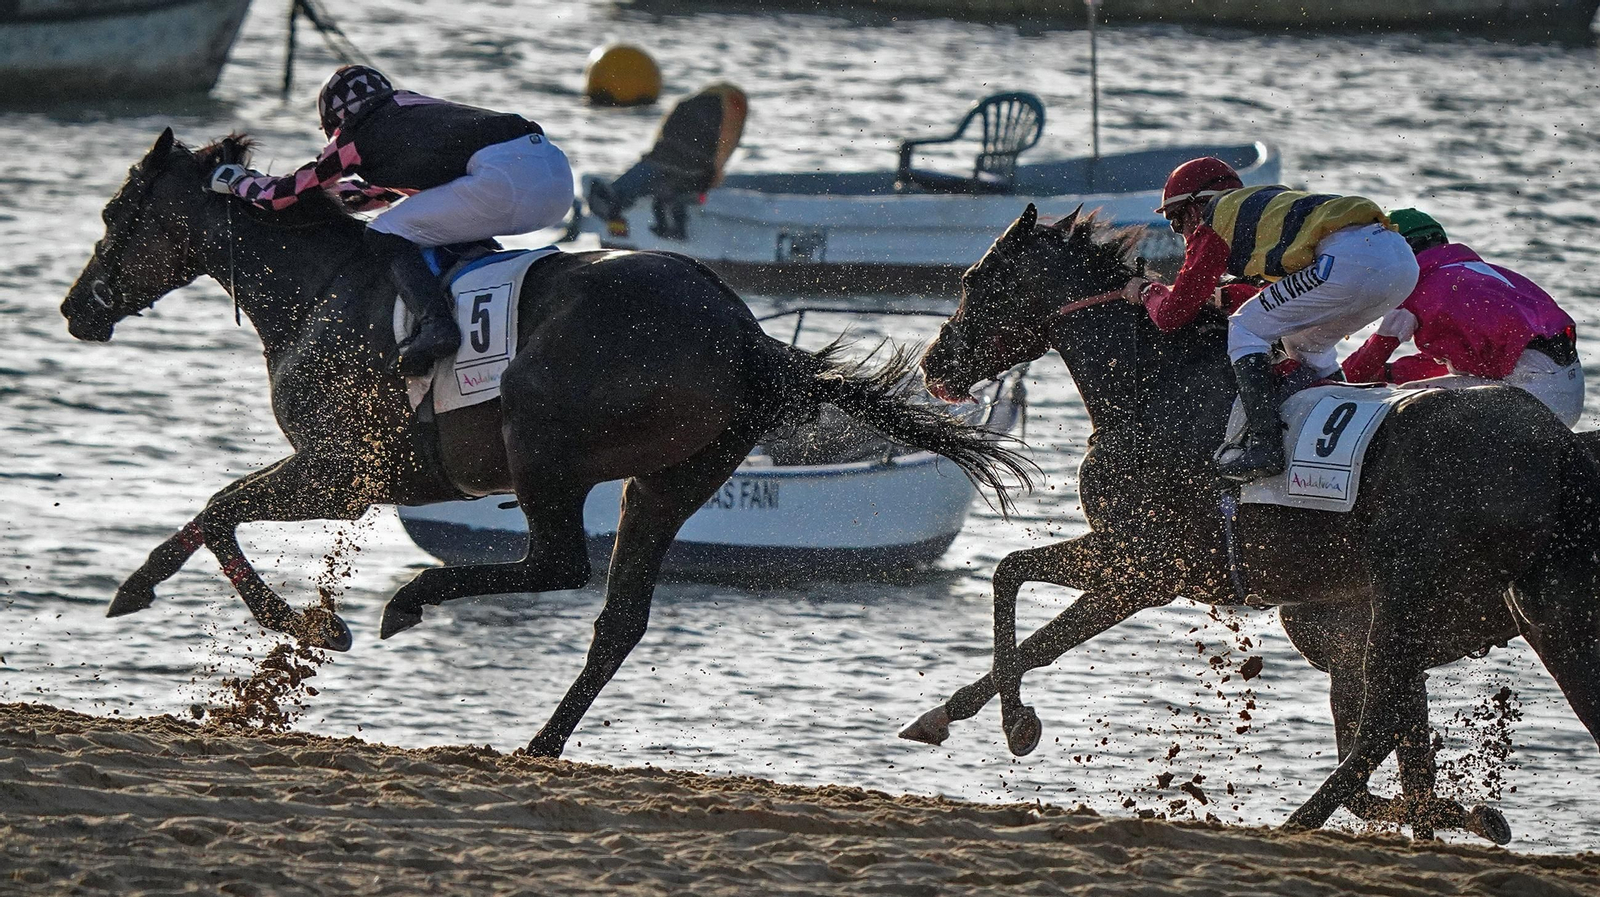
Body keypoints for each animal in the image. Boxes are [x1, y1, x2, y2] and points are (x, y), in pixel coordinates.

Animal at [57, 128, 1031, 758]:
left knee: (559, 562)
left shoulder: (345, 469)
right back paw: (544, 737)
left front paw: (307, 621)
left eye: (111, 211)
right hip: (668, 480)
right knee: (618, 616)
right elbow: (211, 512)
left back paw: (412, 599)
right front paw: (145, 589)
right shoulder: (340, 471)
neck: (316, 283)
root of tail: (748, 337)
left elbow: (220, 508)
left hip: (542, 441)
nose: (74, 308)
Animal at [903, 203, 1600, 841]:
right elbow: (1038, 634)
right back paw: (1449, 815)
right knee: (1403, 732)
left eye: (974, 279)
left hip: (1411, 598)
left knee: (1380, 725)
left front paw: (1014, 724)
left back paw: (1303, 821)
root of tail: (1559, 447)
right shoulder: (1136, 572)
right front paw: (947, 716)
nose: (934, 364)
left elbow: (1009, 576)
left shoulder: (1145, 563)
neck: (1156, 389)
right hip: (1497, 614)